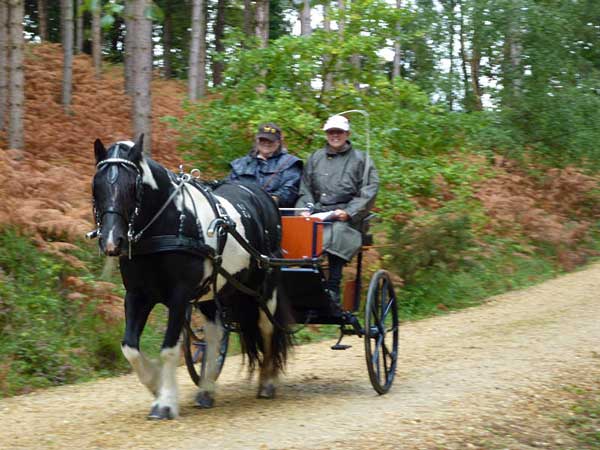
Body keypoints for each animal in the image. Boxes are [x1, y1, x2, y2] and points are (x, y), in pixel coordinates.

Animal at [90, 136, 292, 418]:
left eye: (132, 187)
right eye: (96, 187)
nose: (111, 241)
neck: (168, 223)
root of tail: (263, 195)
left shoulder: (180, 296)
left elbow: (169, 349)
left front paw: (164, 402)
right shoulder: (137, 295)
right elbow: (129, 348)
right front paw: (155, 384)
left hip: (265, 287)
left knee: (267, 328)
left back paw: (267, 382)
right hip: (215, 289)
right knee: (215, 333)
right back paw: (206, 389)